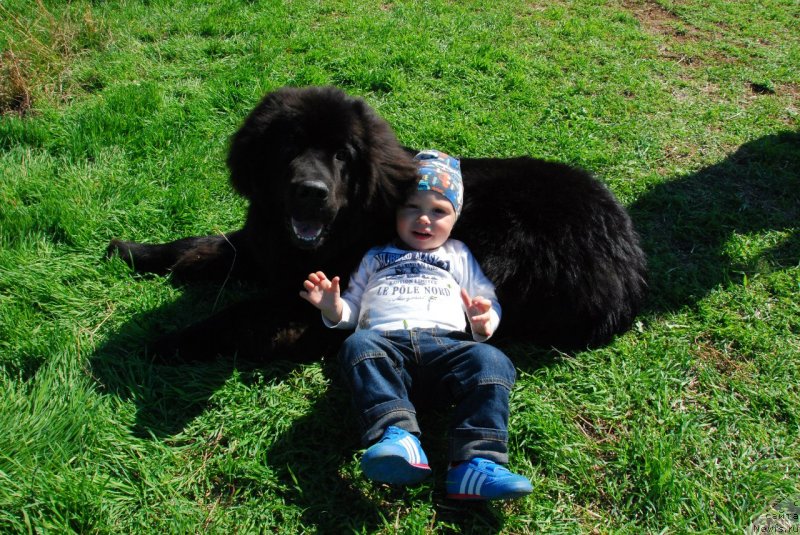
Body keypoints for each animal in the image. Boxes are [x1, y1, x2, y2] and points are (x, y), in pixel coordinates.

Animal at [108, 86, 644, 362]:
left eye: (342, 155)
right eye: (287, 147)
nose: (311, 191)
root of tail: (628, 263)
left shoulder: (311, 283)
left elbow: (239, 312)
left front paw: (171, 340)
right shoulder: (265, 242)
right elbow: (202, 243)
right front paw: (135, 250)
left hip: (503, 239)